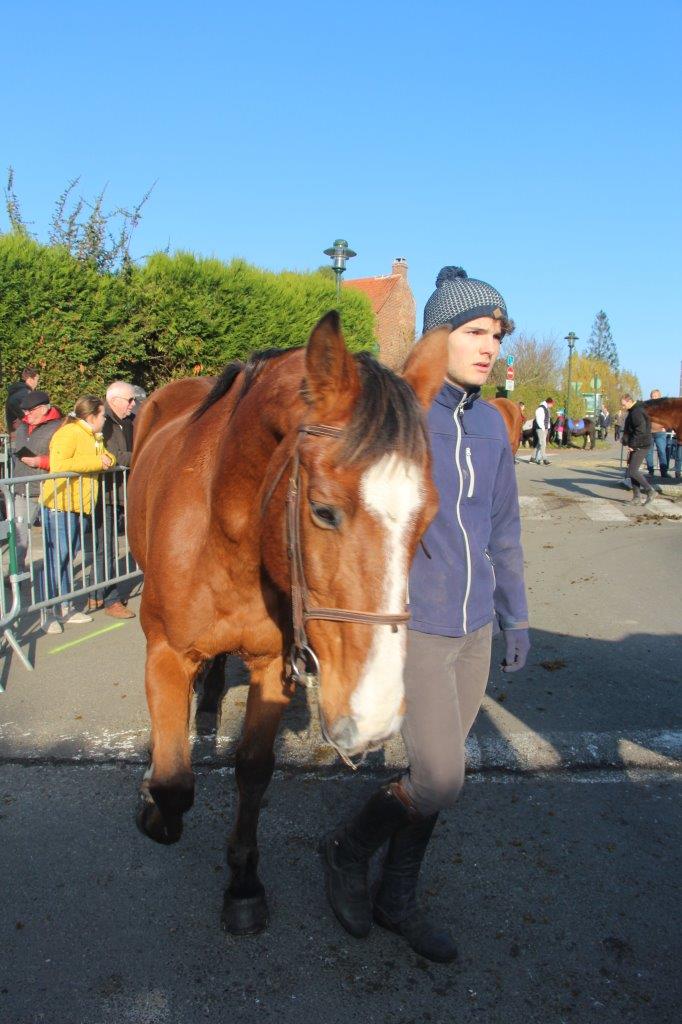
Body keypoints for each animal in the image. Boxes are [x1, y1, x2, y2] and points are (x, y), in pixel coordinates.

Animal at [126, 311, 448, 937]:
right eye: (323, 510)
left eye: (429, 517)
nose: (373, 719)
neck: (226, 533)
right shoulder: (164, 655)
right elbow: (174, 787)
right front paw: (152, 809)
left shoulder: (274, 665)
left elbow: (253, 771)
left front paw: (244, 885)